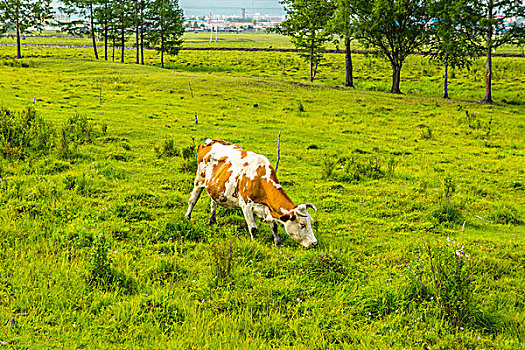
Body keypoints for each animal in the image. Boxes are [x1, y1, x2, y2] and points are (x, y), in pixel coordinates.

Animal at [184, 138, 318, 247]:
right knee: (193, 199)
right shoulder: (246, 205)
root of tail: (209, 141)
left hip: (215, 185)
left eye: (310, 222)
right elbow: (253, 228)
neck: (259, 178)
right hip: (199, 179)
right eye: (302, 224)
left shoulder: (268, 207)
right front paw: (255, 243)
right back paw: (187, 217)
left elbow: (274, 226)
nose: (314, 243)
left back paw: (213, 222)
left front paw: (277, 242)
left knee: (213, 202)